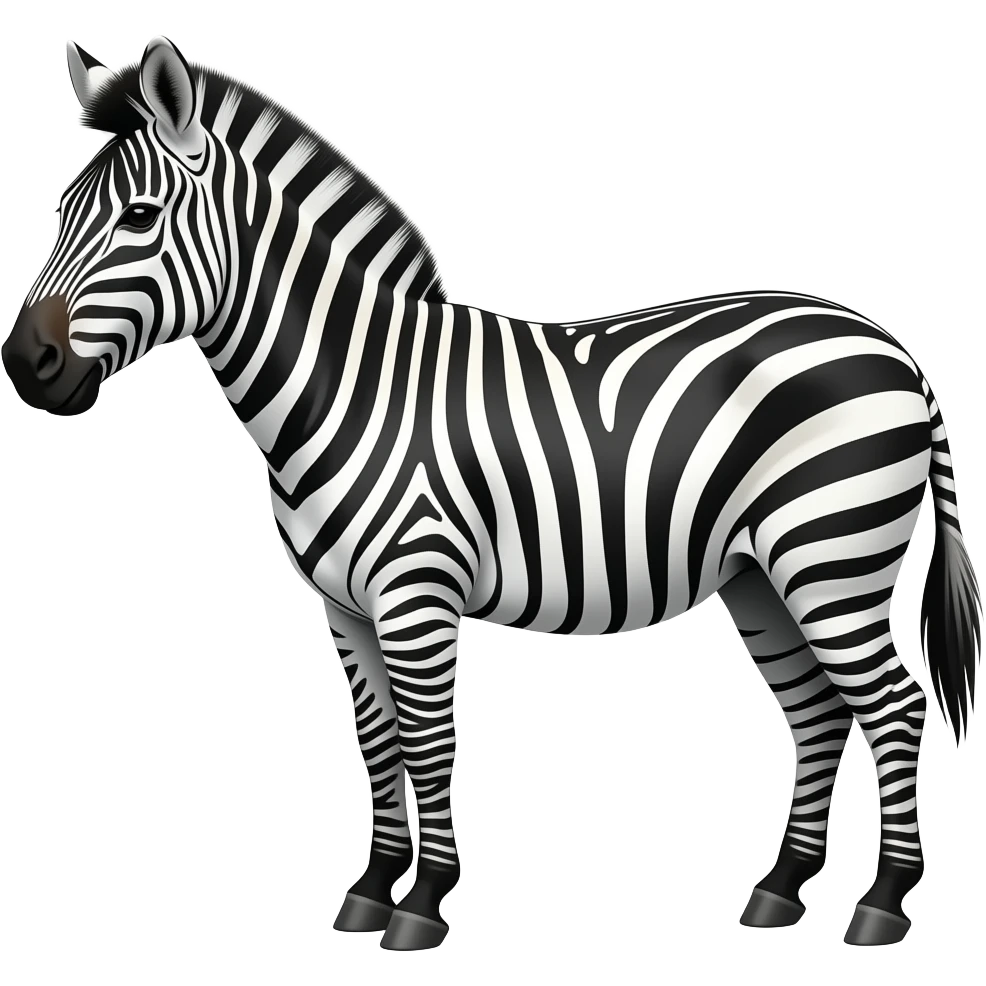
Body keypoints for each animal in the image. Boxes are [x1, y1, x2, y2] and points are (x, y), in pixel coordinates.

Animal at [2, 36, 981, 951]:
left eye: (139, 217)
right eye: (58, 214)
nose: (25, 364)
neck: (350, 386)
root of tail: (894, 347)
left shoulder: (416, 594)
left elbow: (429, 744)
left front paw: (422, 906)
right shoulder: (343, 610)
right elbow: (379, 745)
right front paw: (371, 892)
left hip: (833, 556)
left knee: (893, 707)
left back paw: (882, 905)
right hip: (759, 576)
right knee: (819, 713)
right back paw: (780, 889)